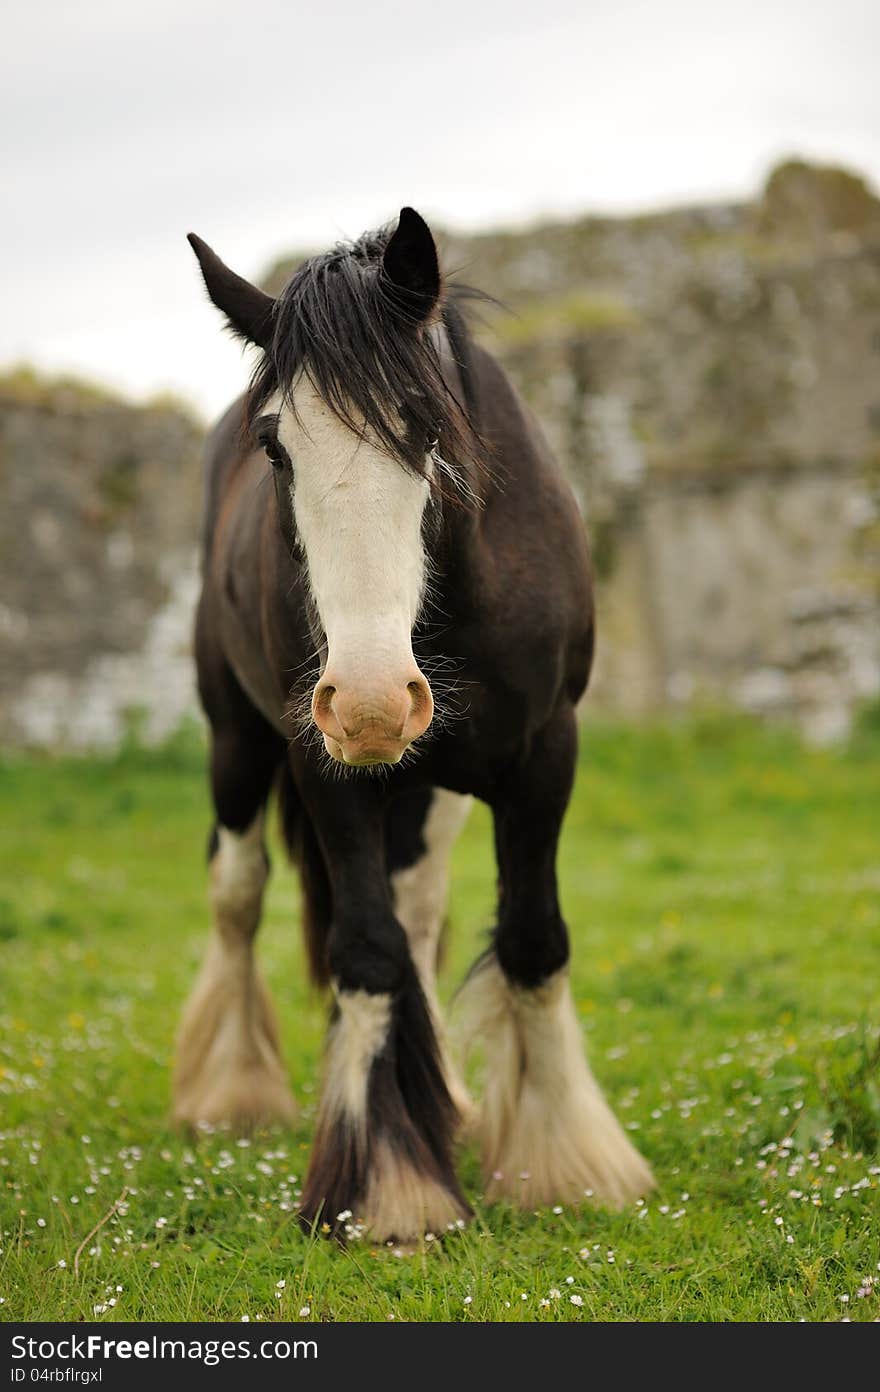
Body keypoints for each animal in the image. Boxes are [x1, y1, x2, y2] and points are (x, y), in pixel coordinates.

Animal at [173, 208, 654, 1241]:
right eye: (276, 449)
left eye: (425, 427)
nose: (369, 703)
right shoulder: (324, 770)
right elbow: (367, 950)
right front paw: (392, 1189)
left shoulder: (545, 755)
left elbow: (532, 940)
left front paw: (564, 1161)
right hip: (238, 740)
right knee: (237, 892)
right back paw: (229, 1093)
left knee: (421, 901)